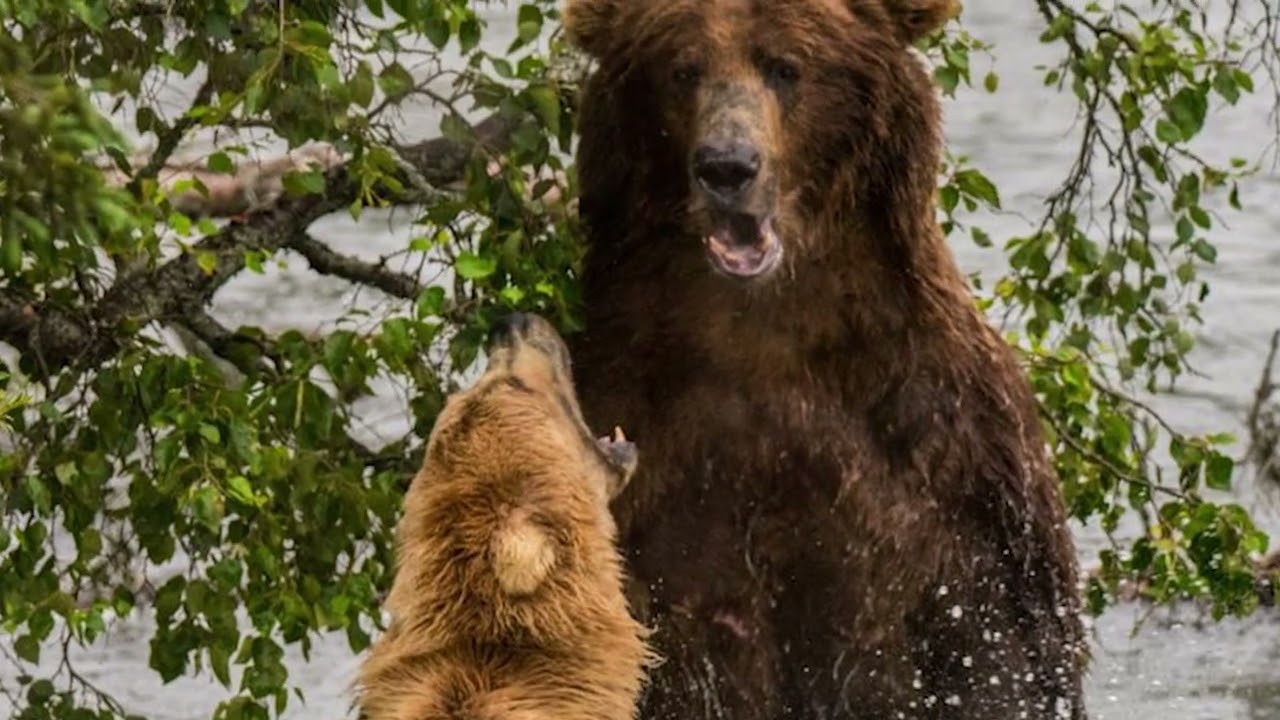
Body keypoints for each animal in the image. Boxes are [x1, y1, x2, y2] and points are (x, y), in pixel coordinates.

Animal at [559, 1, 1090, 719]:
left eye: (786, 66)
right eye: (682, 68)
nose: (727, 166)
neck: (761, 329)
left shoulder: (956, 464)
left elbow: (999, 648)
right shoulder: (633, 427)